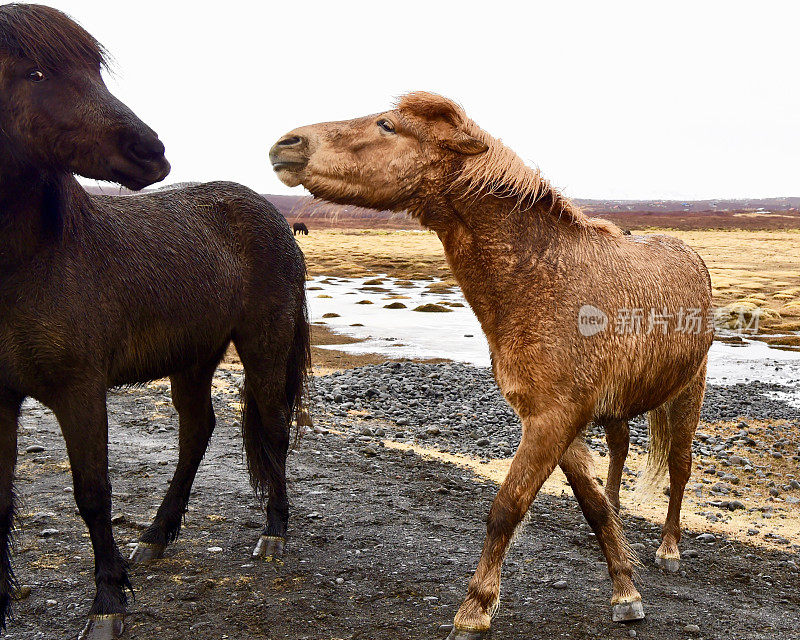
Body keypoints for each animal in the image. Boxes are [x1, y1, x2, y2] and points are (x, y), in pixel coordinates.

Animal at [0, 6, 310, 640]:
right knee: (198, 430)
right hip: (193, 358)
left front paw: (107, 605)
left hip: (264, 348)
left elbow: (92, 492)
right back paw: (158, 535)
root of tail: (273, 216)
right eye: (36, 72)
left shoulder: (80, 389)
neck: (29, 260)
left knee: (271, 427)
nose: (151, 150)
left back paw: (274, 533)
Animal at [270, 91, 712, 640]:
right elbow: (591, 506)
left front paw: (475, 610)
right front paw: (625, 590)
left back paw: (669, 549)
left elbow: (506, 508)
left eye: (387, 125)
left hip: (687, 393)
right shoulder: (557, 423)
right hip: (619, 409)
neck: (539, 280)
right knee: (620, 453)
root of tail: (690, 254)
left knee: (680, 469)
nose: (286, 144)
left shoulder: (552, 421)